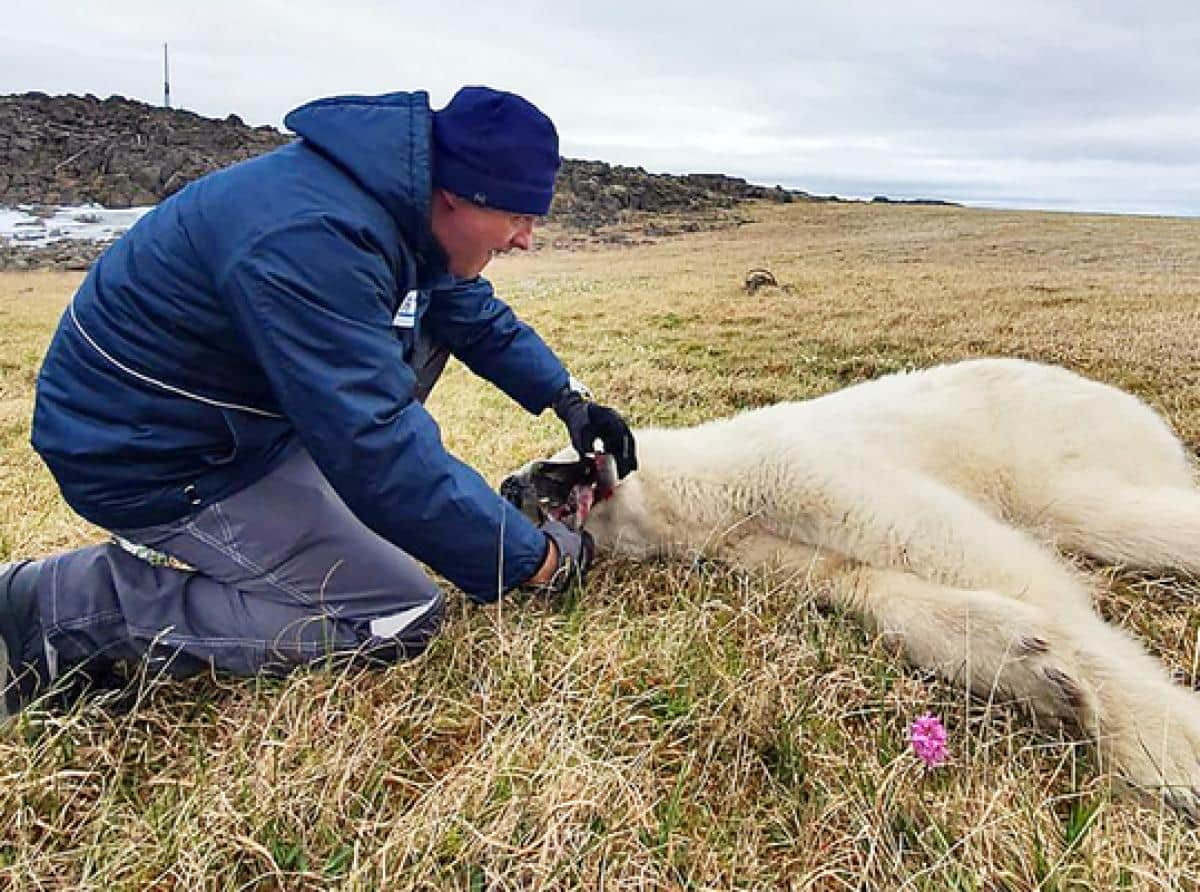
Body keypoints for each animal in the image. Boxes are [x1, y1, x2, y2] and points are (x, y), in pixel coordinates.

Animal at [506, 357, 1200, 816]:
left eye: (548, 460)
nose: (511, 486)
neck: (703, 492)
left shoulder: (793, 468)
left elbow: (951, 545)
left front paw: (1166, 743)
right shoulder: (758, 544)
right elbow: (863, 584)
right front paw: (1034, 667)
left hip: (1053, 439)